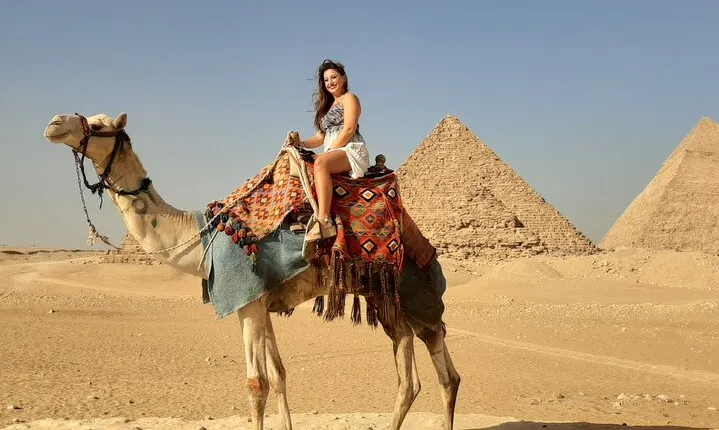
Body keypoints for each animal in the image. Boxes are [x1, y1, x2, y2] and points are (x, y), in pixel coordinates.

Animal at [43, 112, 461, 430]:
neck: (200, 238)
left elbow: (256, 384)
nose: (54, 123)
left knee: (420, 372)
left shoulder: (247, 305)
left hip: (408, 290)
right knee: (435, 372)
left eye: (98, 125)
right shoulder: (262, 304)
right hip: (391, 299)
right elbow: (279, 376)